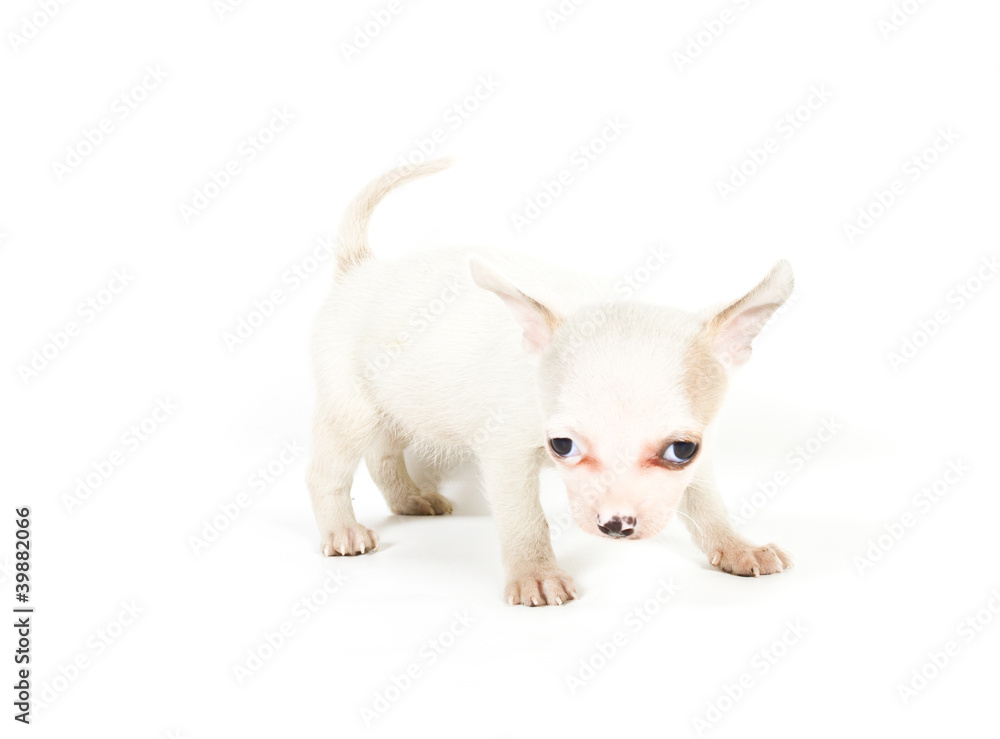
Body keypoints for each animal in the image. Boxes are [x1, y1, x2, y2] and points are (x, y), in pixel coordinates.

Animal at [308, 160, 792, 608]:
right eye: (562, 445)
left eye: (682, 451)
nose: (616, 526)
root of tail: (361, 269)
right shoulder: (505, 453)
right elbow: (525, 518)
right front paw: (535, 574)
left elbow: (707, 503)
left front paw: (736, 547)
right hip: (352, 409)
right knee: (327, 472)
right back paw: (342, 529)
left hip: (394, 404)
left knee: (382, 453)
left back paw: (409, 499)